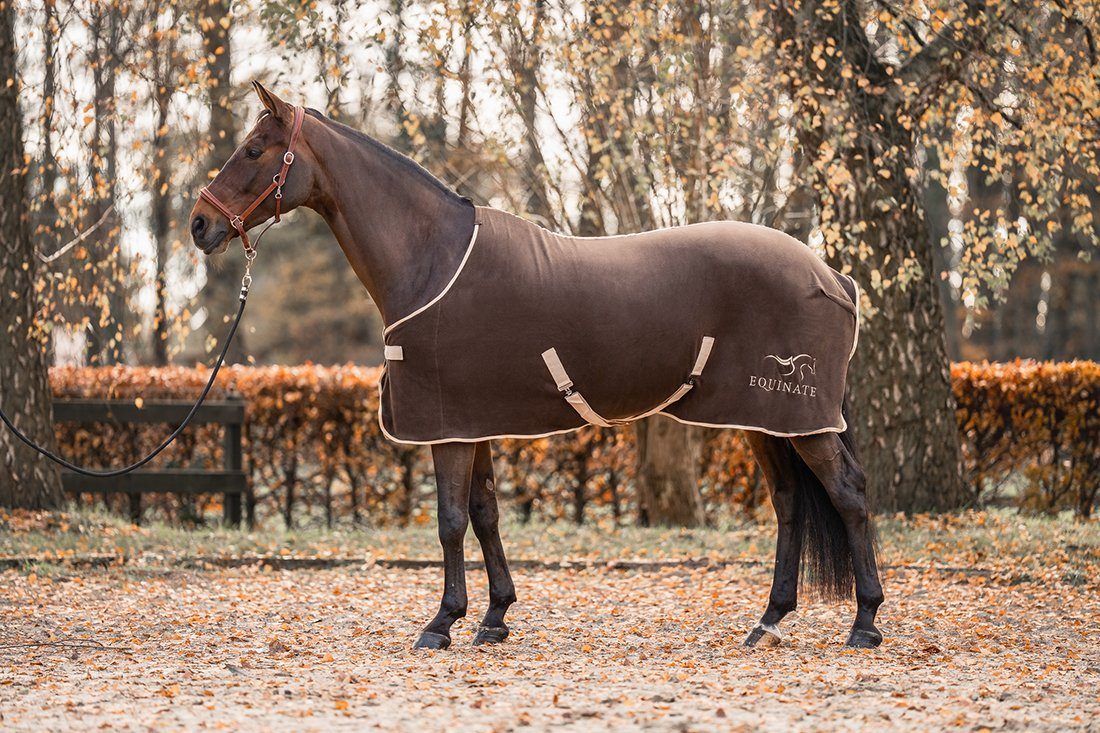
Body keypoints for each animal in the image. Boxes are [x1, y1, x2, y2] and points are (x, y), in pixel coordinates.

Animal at [189, 82, 884, 651]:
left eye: (254, 150)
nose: (198, 225)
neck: (432, 260)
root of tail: (833, 276)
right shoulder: (473, 422)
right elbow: (485, 514)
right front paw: (494, 617)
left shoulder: (447, 426)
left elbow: (449, 521)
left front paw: (441, 623)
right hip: (765, 418)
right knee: (790, 503)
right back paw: (767, 623)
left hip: (796, 417)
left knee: (848, 493)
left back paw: (865, 623)